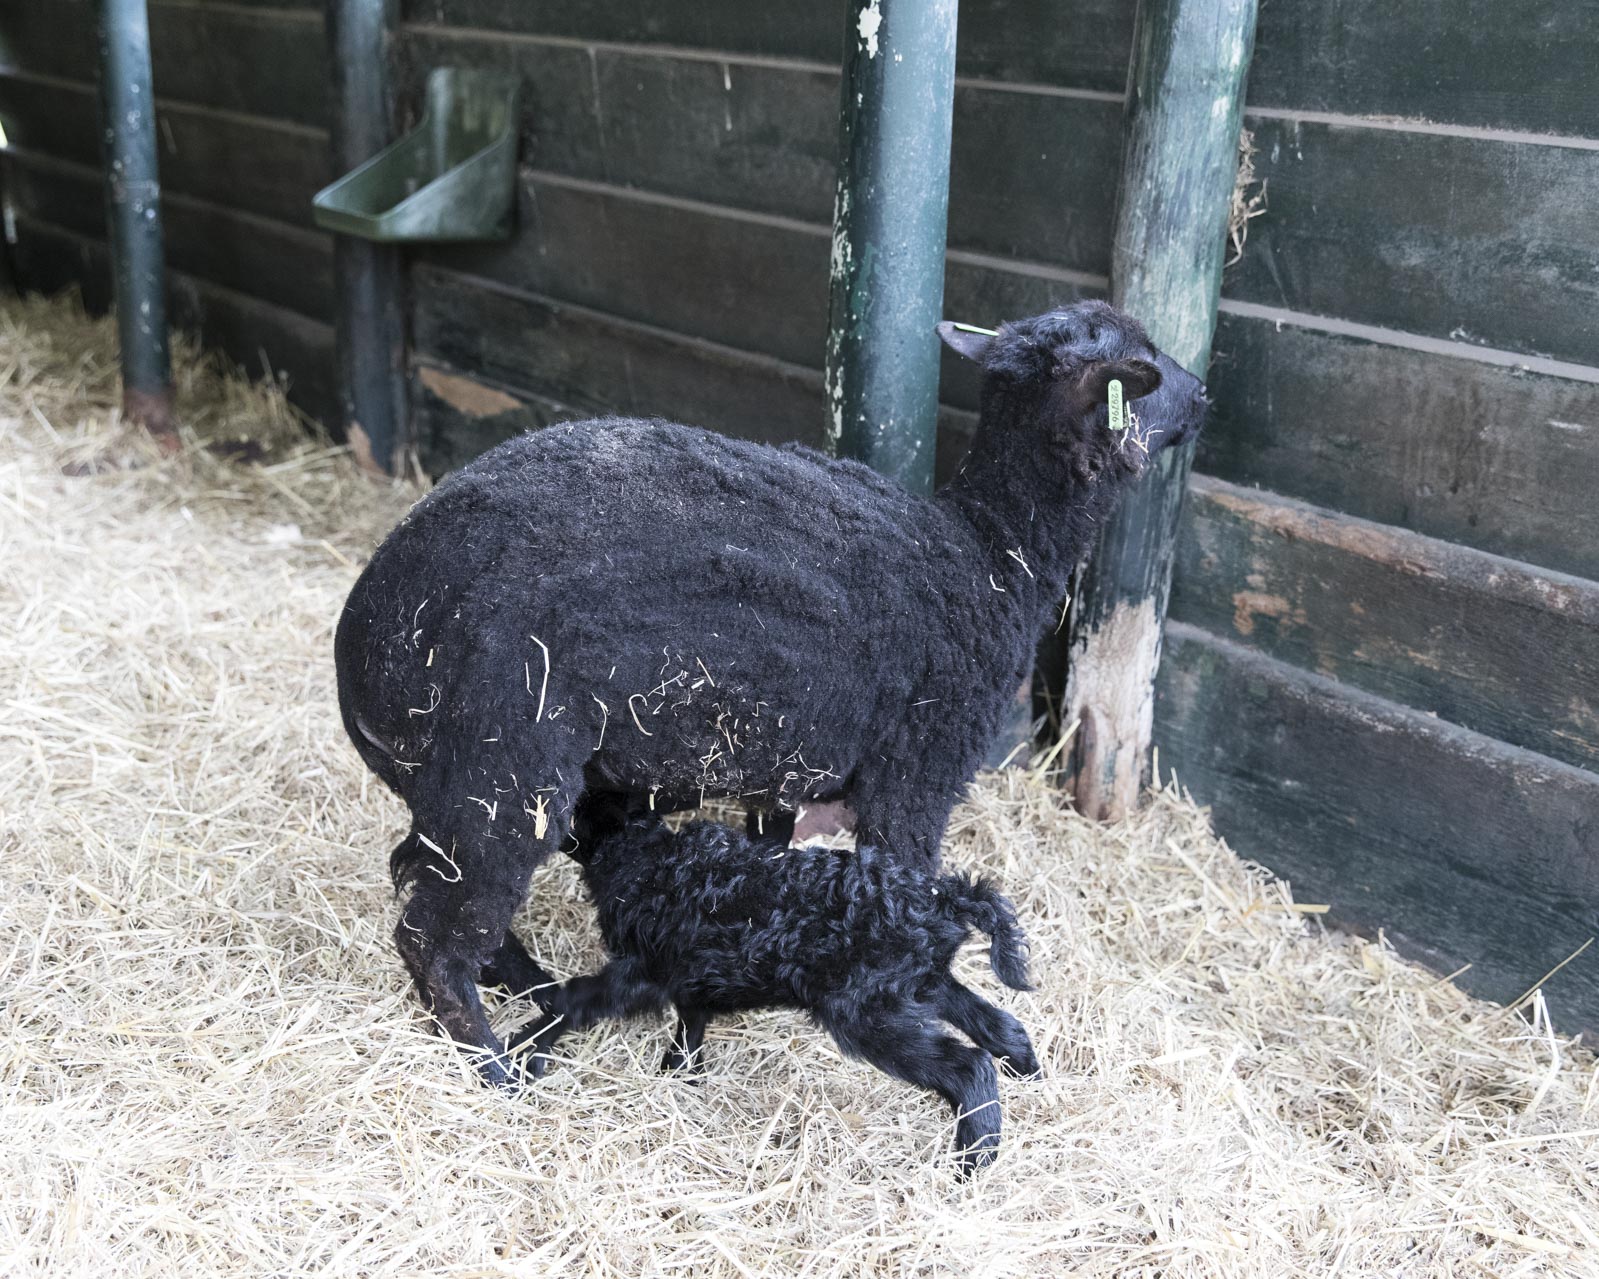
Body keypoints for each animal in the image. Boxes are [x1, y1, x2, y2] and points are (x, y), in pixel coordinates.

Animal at [340, 302, 1208, 1087]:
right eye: (1144, 361)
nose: (1203, 393)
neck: (989, 557)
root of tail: (366, 643)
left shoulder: (782, 765)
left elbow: (770, 853)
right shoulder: (917, 769)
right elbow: (904, 878)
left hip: (445, 778)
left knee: (420, 875)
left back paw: (530, 988)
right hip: (500, 764)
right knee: (434, 933)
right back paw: (493, 1063)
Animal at [511, 799, 1036, 1176]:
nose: (536, 833)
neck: (644, 861)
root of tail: (942, 901)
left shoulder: (644, 973)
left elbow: (575, 1000)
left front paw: (524, 1052)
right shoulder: (691, 977)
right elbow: (690, 1029)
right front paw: (679, 1078)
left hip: (868, 1010)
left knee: (970, 1067)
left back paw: (971, 1164)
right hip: (918, 985)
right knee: (1001, 1025)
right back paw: (1029, 1077)